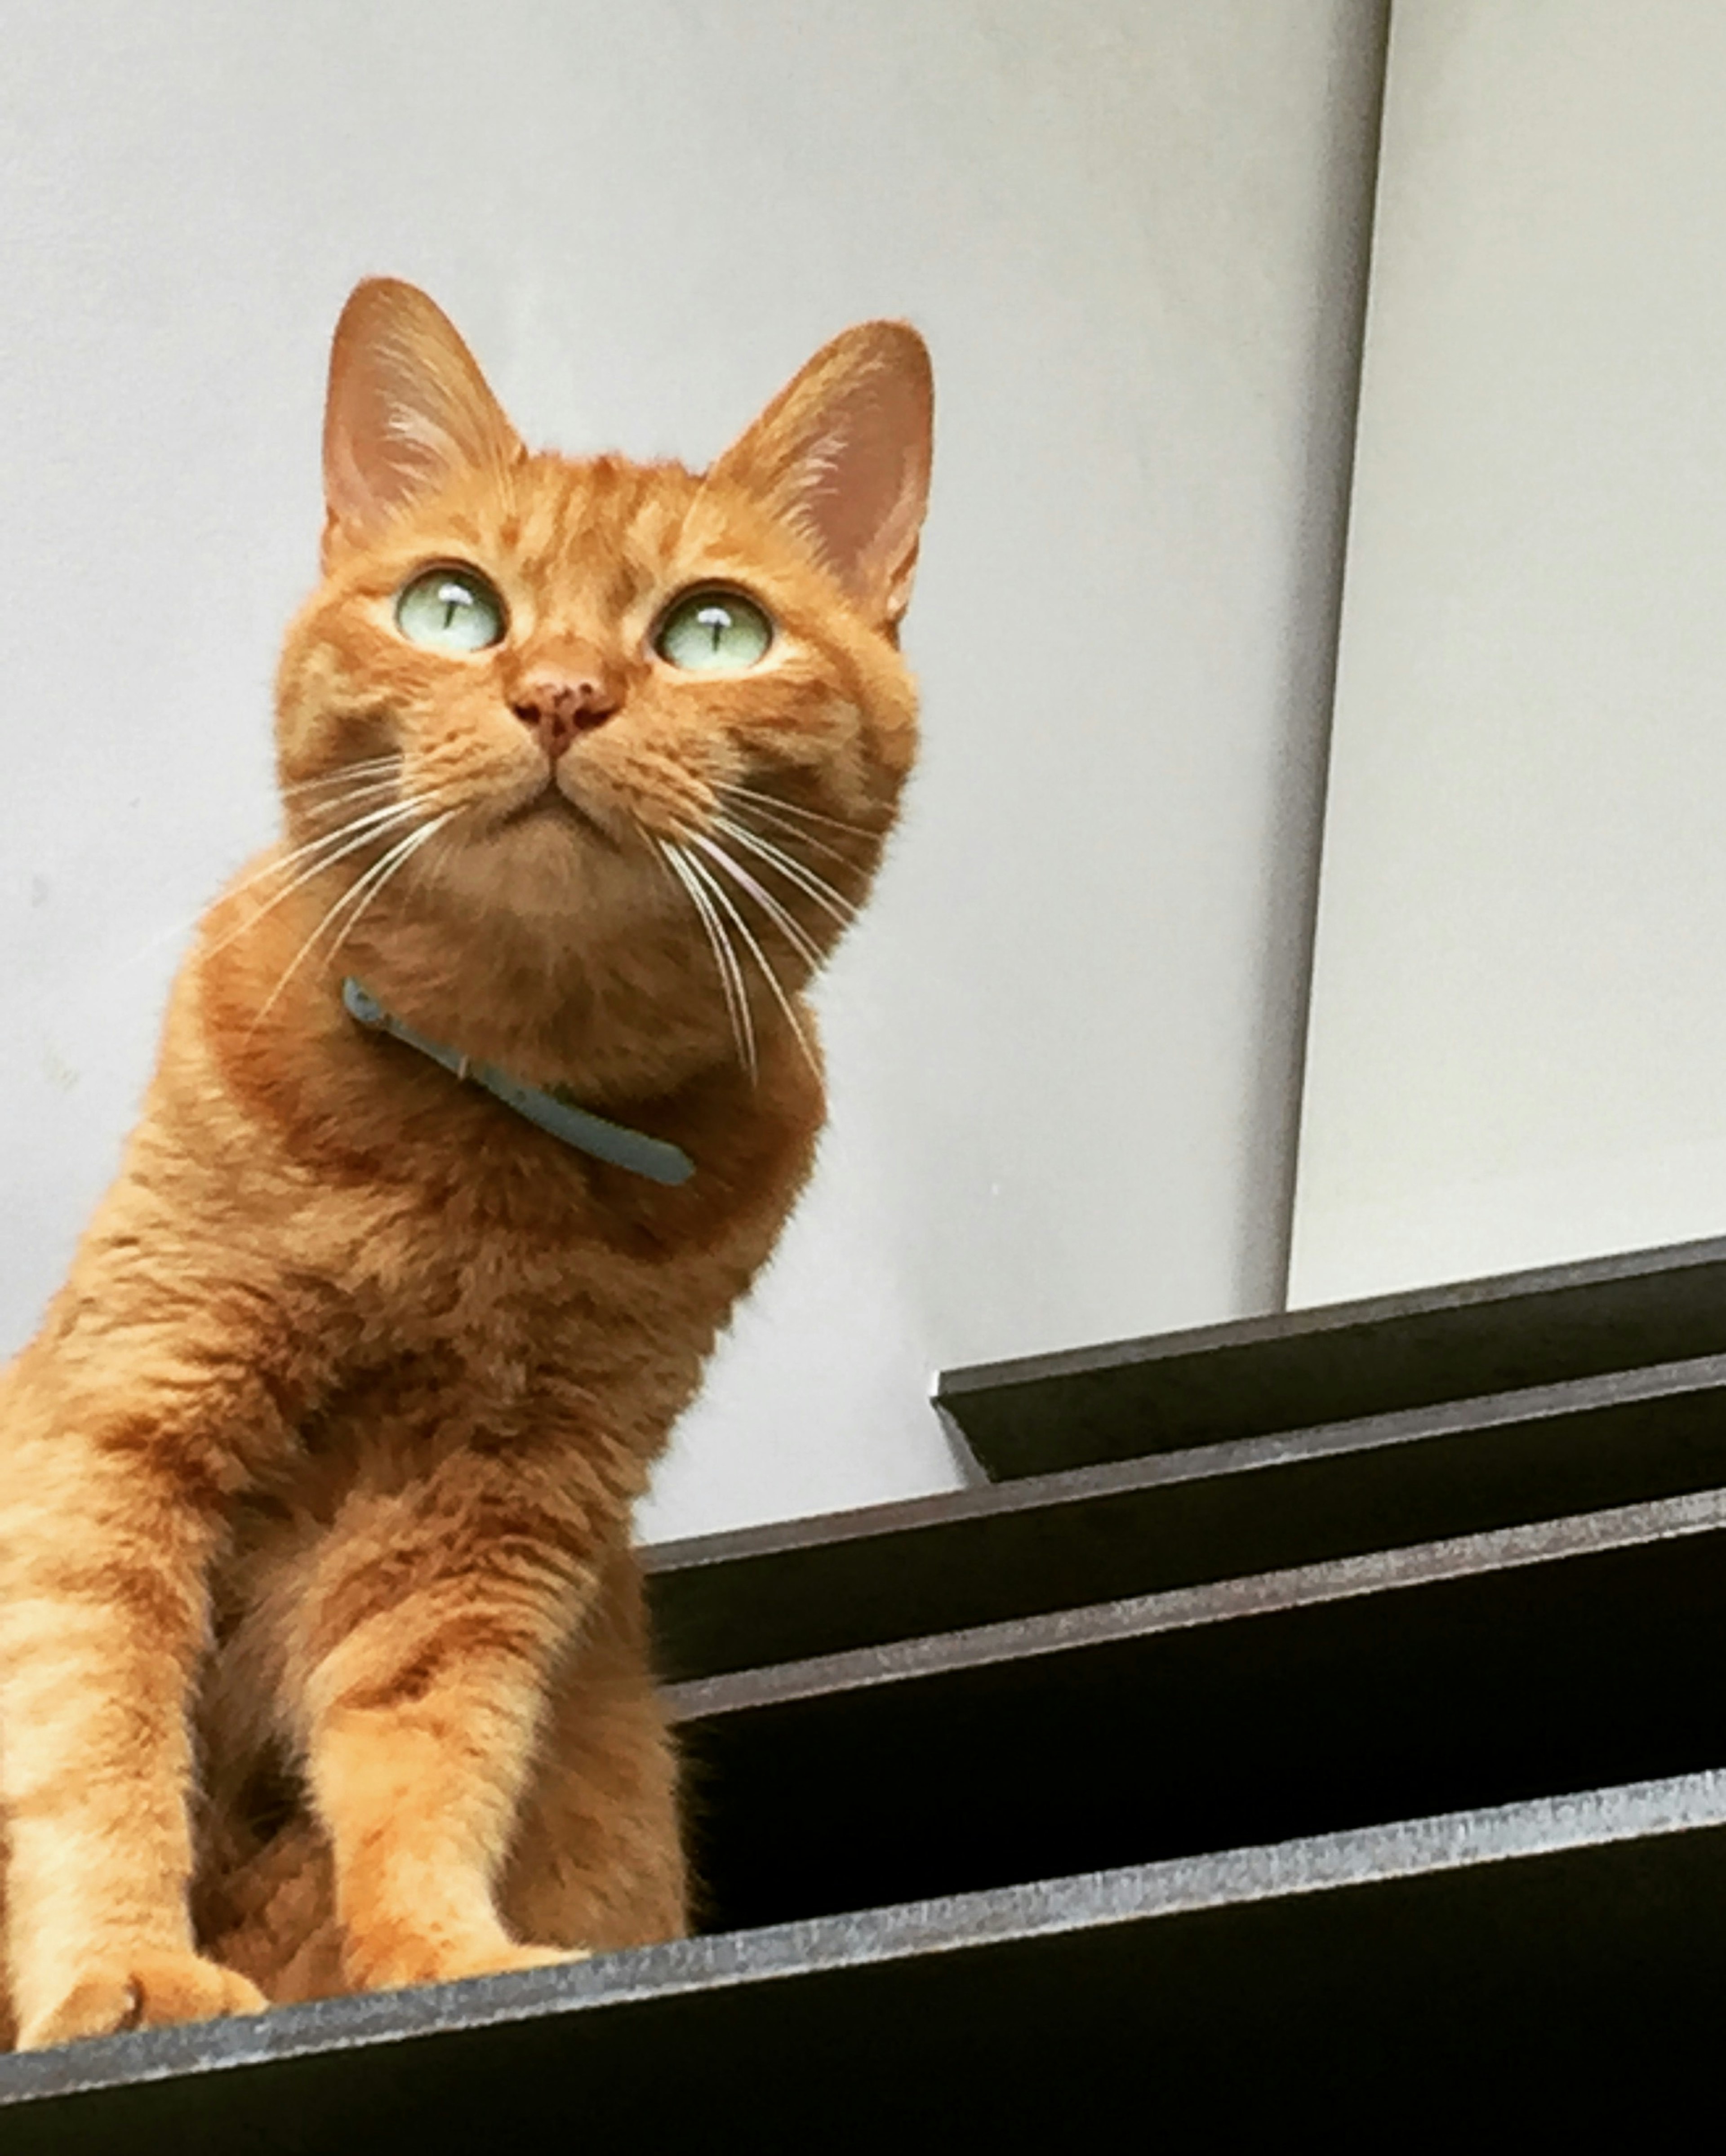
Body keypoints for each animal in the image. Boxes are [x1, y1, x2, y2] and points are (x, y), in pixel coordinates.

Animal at [0, 278, 932, 2044]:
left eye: (713, 630)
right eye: (453, 607)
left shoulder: (489, 1521)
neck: (479, 1144)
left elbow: (430, 1759)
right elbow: (94, 1726)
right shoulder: (121, 1424)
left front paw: (439, 1955)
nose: (560, 692)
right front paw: (123, 1965)